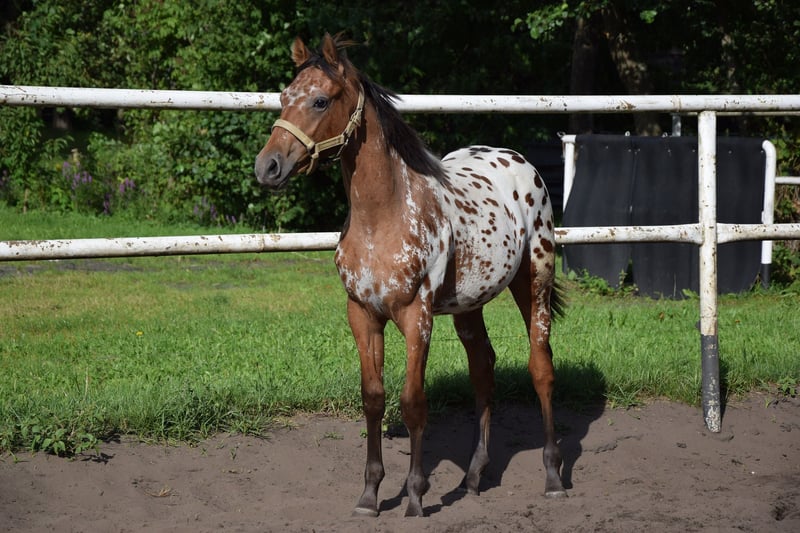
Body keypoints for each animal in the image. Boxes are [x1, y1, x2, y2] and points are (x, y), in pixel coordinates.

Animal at [255, 33, 566, 517]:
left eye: (321, 100)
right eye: (284, 97)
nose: (267, 167)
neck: (383, 217)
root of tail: (519, 161)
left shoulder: (416, 317)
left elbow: (413, 402)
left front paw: (416, 496)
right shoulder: (362, 315)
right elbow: (373, 398)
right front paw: (369, 495)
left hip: (534, 280)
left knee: (541, 367)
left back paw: (552, 477)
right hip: (468, 306)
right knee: (483, 371)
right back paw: (474, 477)